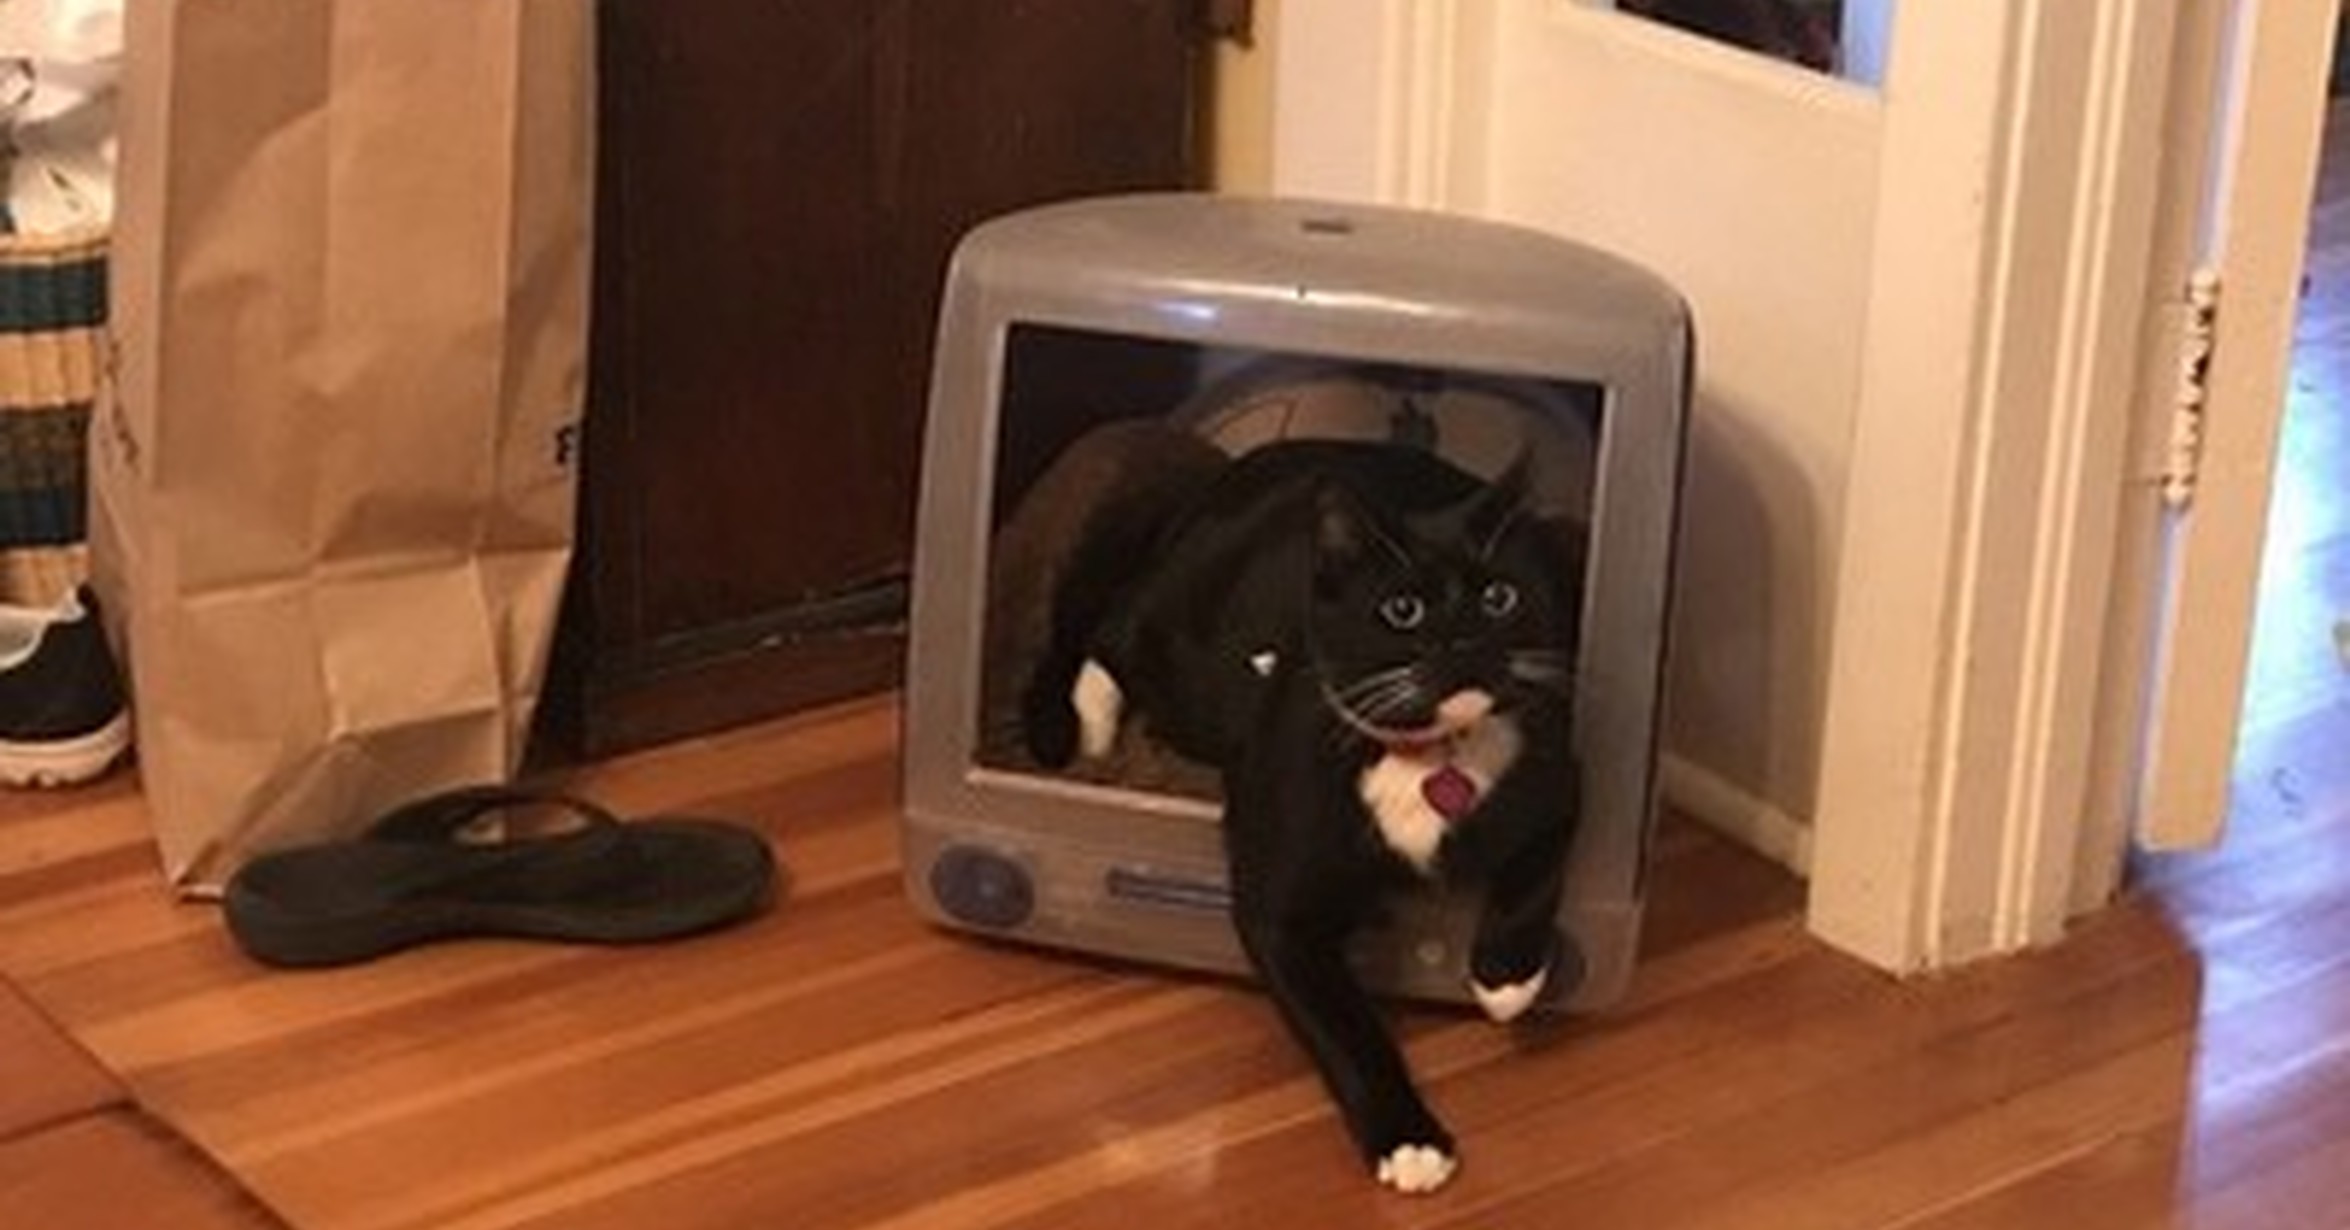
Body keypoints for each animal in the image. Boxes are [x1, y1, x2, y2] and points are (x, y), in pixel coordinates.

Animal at [1023, 437, 1585, 1194]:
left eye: (1500, 596)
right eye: (1402, 610)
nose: (1467, 642)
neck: (1427, 755)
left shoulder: (1555, 769)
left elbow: (1538, 866)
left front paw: (1505, 981)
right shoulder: (1280, 907)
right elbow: (1342, 1025)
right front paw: (1409, 1142)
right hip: (1177, 634)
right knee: (1110, 630)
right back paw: (1094, 726)